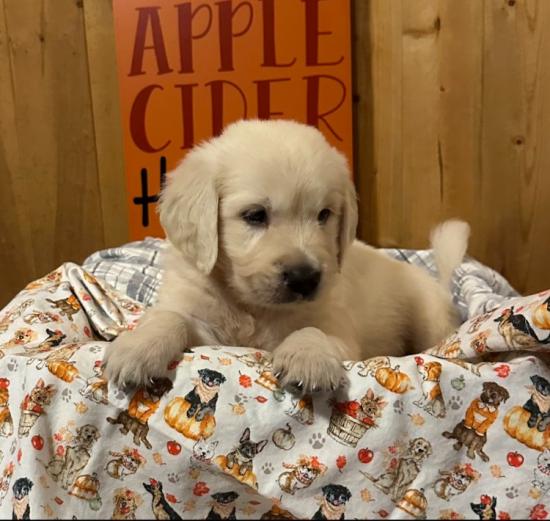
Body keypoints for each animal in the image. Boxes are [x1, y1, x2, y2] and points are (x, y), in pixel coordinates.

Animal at [103, 120, 470, 392]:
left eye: (324, 214)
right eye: (255, 215)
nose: (305, 279)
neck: (252, 308)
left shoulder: (337, 327)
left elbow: (312, 330)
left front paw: (308, 359)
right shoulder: (199, 320)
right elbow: (169, 318)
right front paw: (136, 348)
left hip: (430, 318)